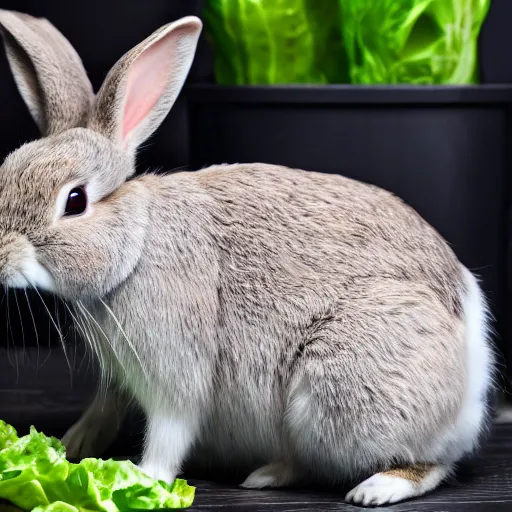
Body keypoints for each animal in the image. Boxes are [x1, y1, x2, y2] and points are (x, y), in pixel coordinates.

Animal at [0, 9, 496, 508]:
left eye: (75, 201)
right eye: (7, 170)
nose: (1, 258)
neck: (136, 243)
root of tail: (472, 372)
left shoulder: (177, 364)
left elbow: (171, 427)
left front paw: (146, 478)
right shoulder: (116, 378)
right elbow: (102, 409)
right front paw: (70, 446)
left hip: (342, 389)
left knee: (432, 464)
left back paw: (373, 488)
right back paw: (270, 473)